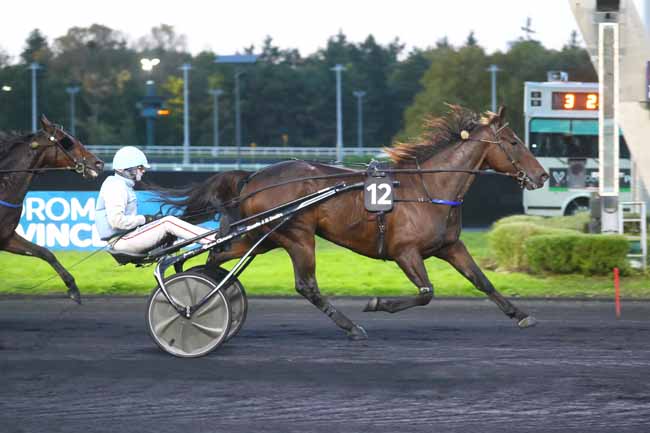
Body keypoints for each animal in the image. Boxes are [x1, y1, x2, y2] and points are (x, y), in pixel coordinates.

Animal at [0, 116, 104, 302]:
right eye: (67, 141)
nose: (98, 163)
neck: (3, 185)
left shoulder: (6, 237)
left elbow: (45, 252)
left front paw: (72, 286)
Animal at [162, 106, 548, 340]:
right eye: (514, 141)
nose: (542, 175)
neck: (430, 189)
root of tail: (253, 177)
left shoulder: (450, 245)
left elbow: (482, 280)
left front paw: (520, 313)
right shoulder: (405, 251)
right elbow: (426, 292)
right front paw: (377, 303)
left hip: (265, 235)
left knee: (217, 257)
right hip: (297, 236)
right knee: (306, 285)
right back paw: (350, 326)